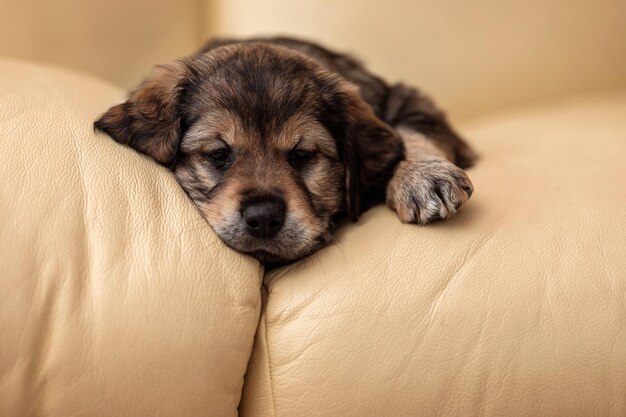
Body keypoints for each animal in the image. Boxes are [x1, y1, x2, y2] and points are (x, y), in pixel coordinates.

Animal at [94, 37, 472, 262]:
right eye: (219, 154)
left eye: (302, 155)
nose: (263, 218)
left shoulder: (405, 99)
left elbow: (412, 131)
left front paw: (423, 177)